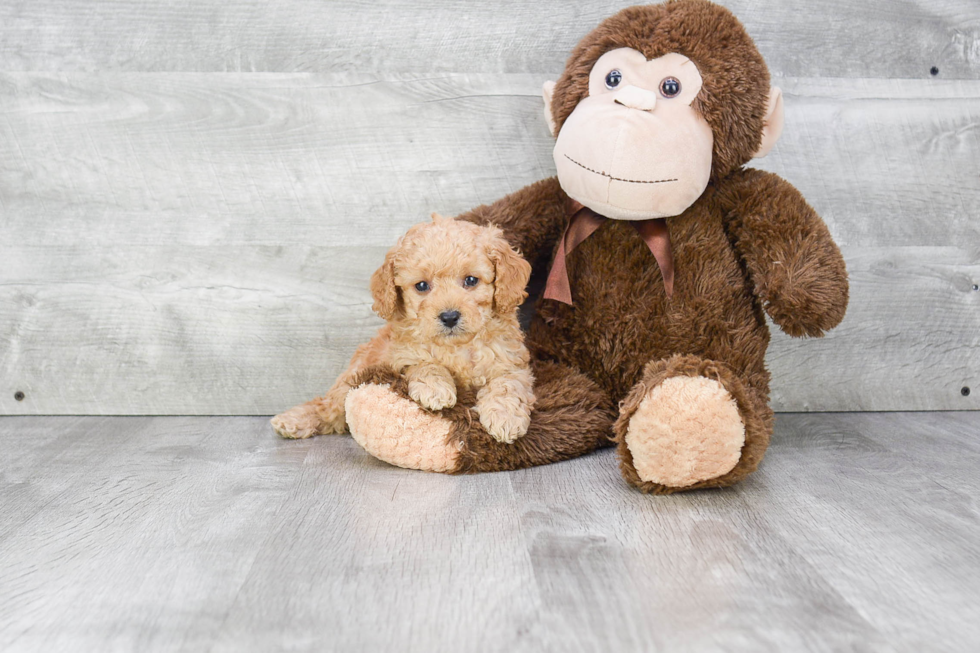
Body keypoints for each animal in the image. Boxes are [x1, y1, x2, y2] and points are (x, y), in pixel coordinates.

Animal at [272, 214, 536, 444]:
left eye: (471, 280)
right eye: (422, 286)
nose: (449, 316)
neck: (456, 346)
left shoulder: (511, 363)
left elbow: (507, 386)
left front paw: (505, 419)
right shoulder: (402, 357)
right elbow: (425, 364)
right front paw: (436, 390)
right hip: (351, 378)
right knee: (326, 407)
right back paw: (293, 421)